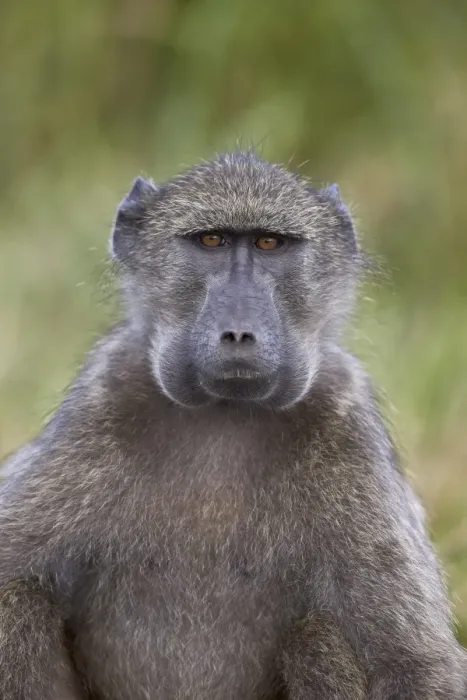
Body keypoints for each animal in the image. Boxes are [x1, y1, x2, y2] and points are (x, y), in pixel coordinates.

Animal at [0, 151, 466, 700]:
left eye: (269, 244)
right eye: (211, 241)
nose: (239, 332)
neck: (225, 411)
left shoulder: (348, 421)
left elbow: (416, 663)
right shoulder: (101, 399)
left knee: (316, 636)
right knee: (17, 598)